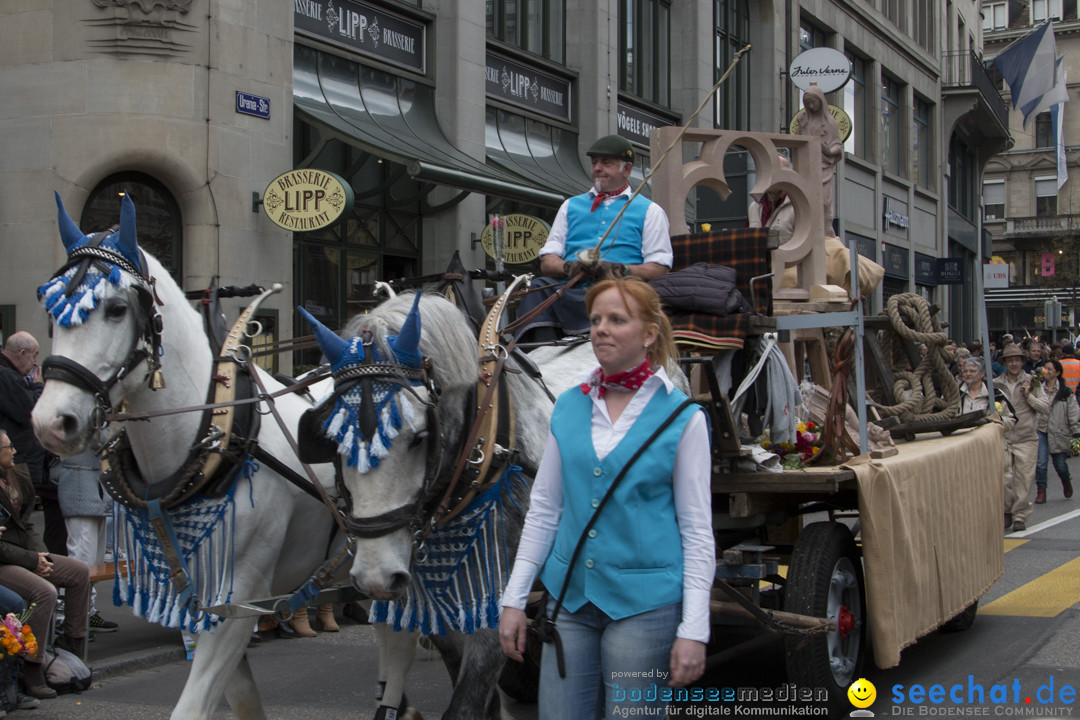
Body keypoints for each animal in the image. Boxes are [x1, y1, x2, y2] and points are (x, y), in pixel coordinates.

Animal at [29, 193, 416, 720]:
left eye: (115, 308)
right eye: (49, 306)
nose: (52, 422)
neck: (214, 436)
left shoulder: (241, 594)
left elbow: (193, 705)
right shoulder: (202, 601)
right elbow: (241, 698)